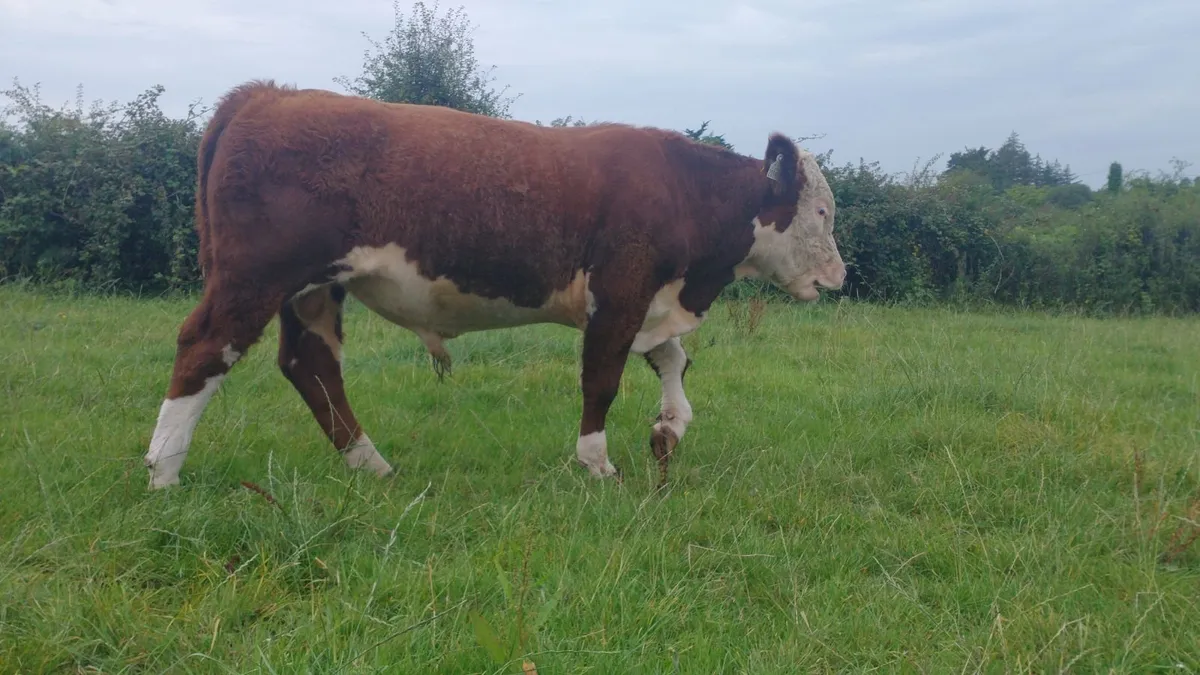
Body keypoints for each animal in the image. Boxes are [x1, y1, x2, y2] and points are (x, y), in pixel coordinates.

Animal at [142, 80, 845, 490]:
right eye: (821, 211)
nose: (838, 276)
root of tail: (269, 93)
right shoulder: (620, 291)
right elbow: (603, 379)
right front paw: (597, 463)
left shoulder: (649, 300)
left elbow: (673, 362)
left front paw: (668, 430)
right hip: (254, 276)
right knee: (203, 349)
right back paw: (164, 474)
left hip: (311, 289)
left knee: (309, 365)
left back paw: (372, 465)